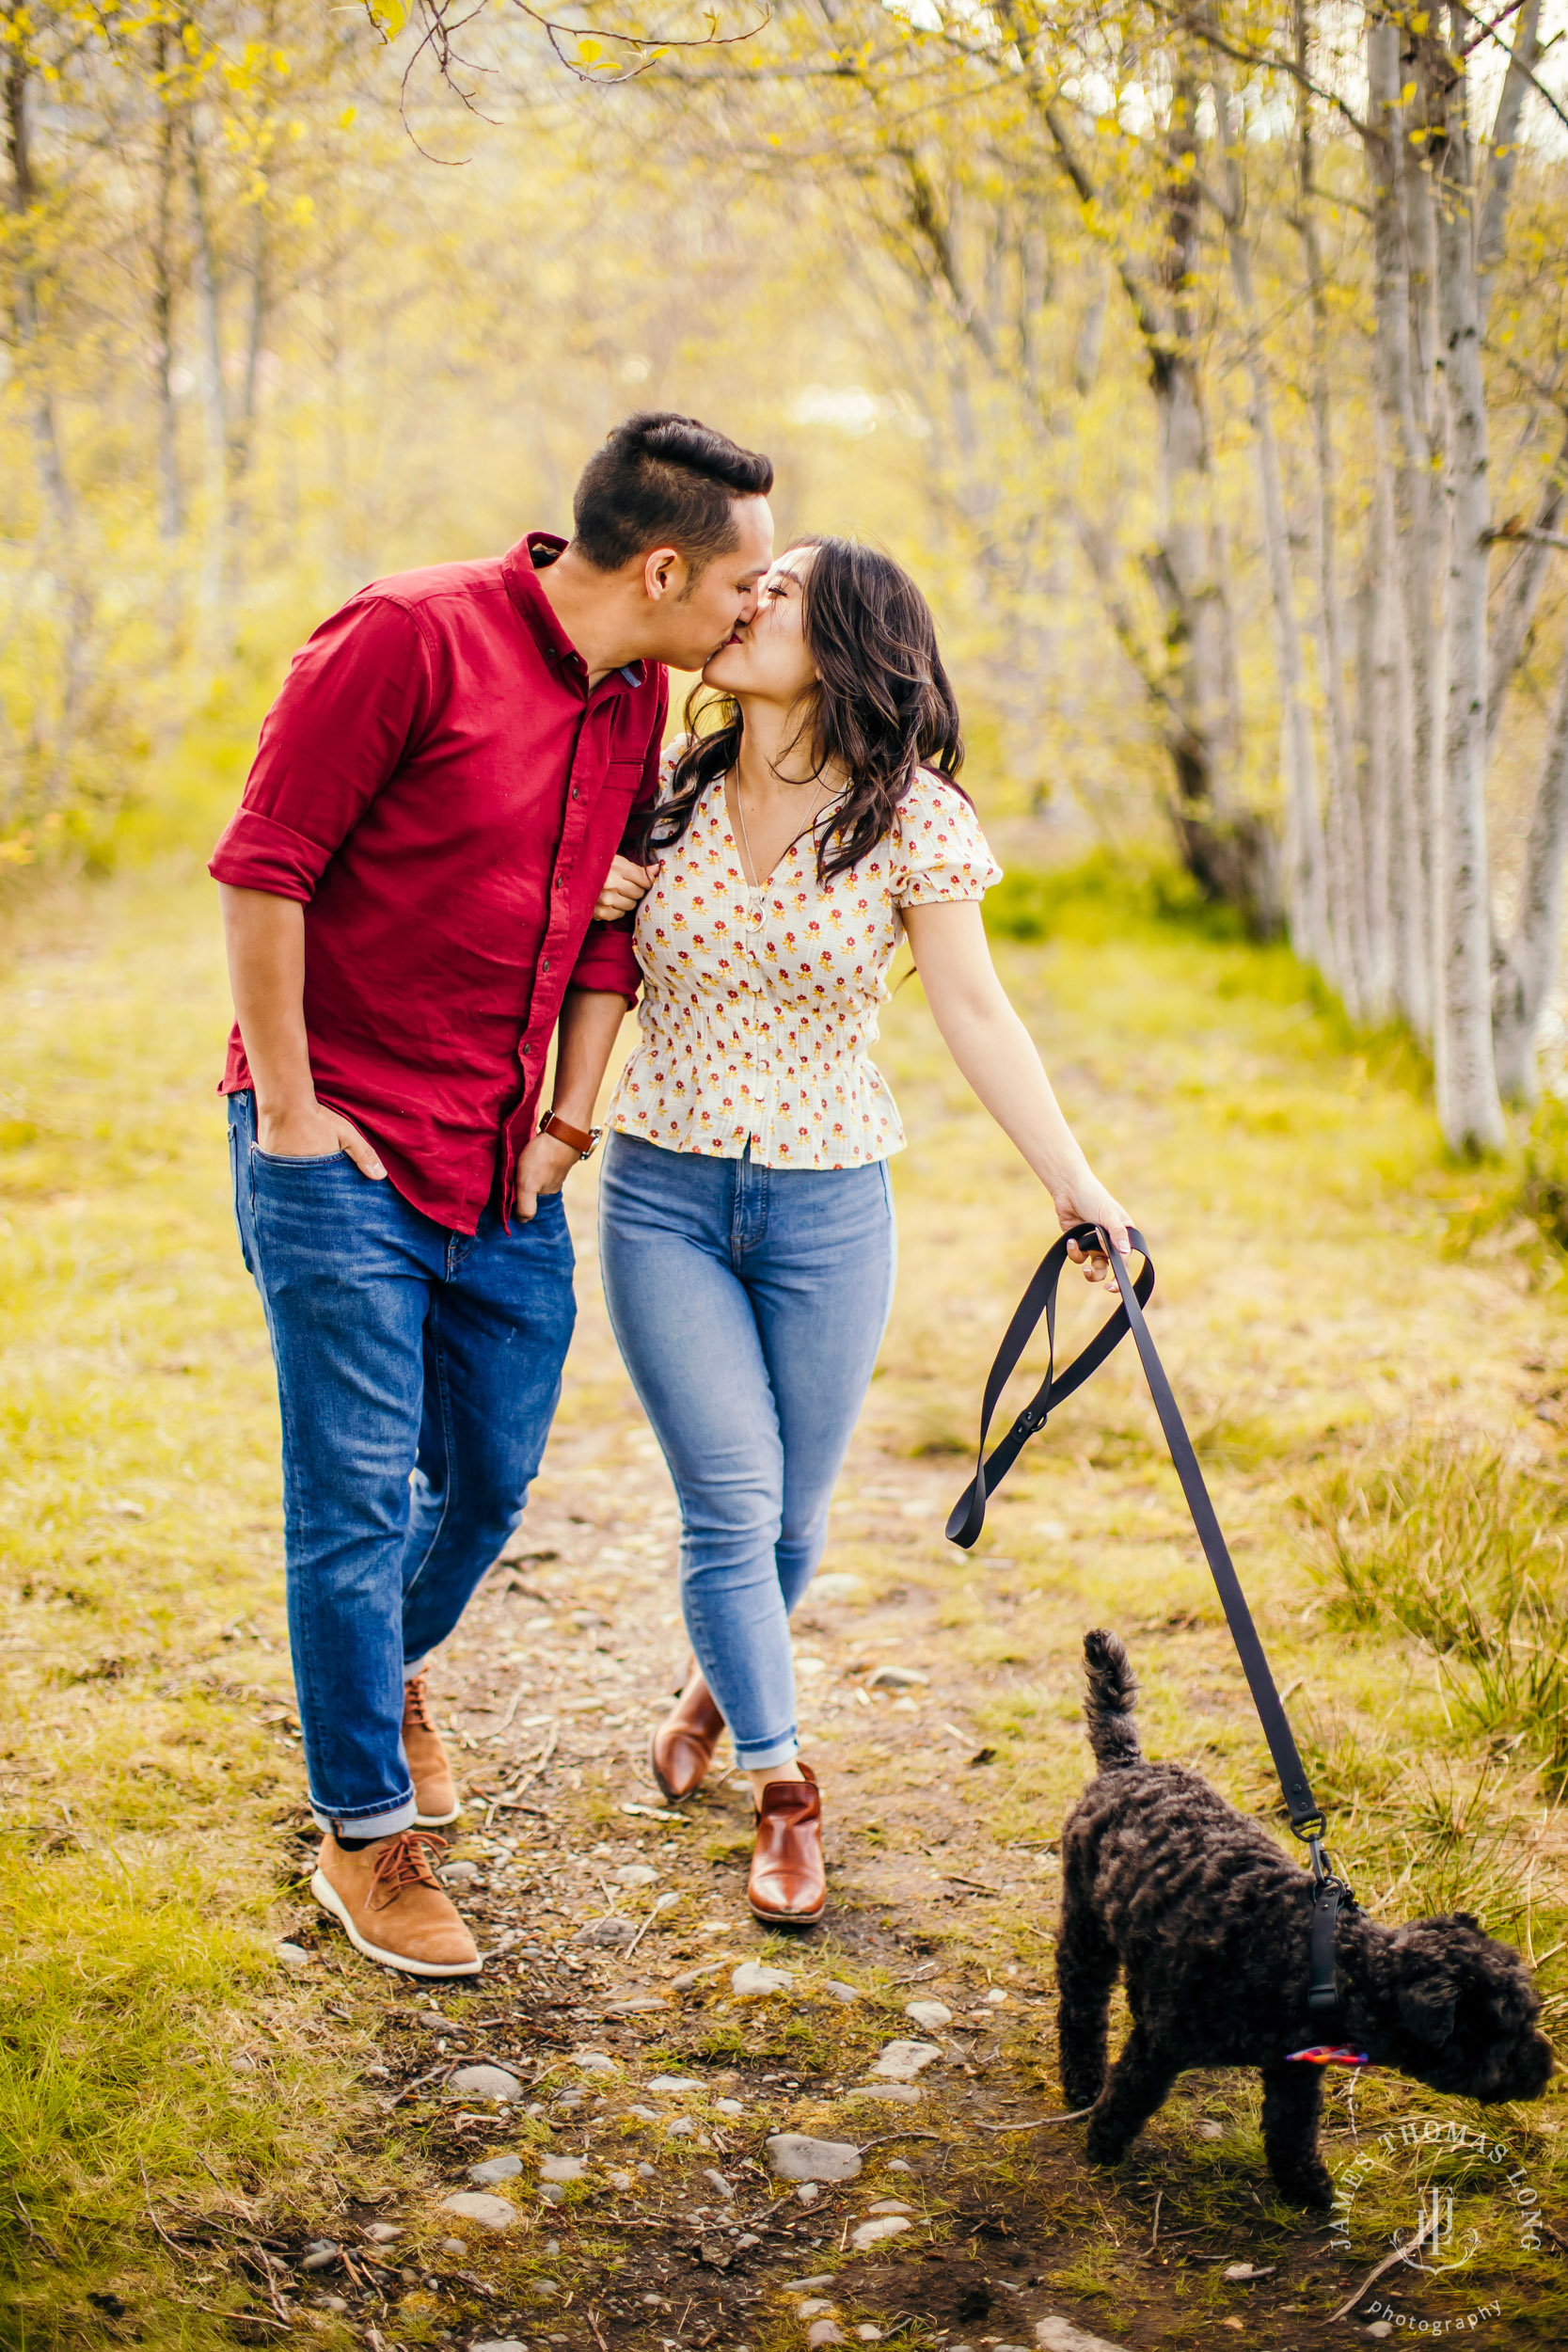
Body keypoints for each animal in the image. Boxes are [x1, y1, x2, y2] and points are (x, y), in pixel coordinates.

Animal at [1053, 1637, 1560, 2201]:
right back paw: (1082, 2082)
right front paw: (1103, 2145)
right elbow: (1131, 2094)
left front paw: (1305, 2187)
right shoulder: (1160, 2047)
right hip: (1086, 1931)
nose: (1547, 2073)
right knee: (1082, 2008)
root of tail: (1125, 1764)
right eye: (1506, 2028)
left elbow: (1291, 2129)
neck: (1315, 1958)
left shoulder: (1292, 2070)